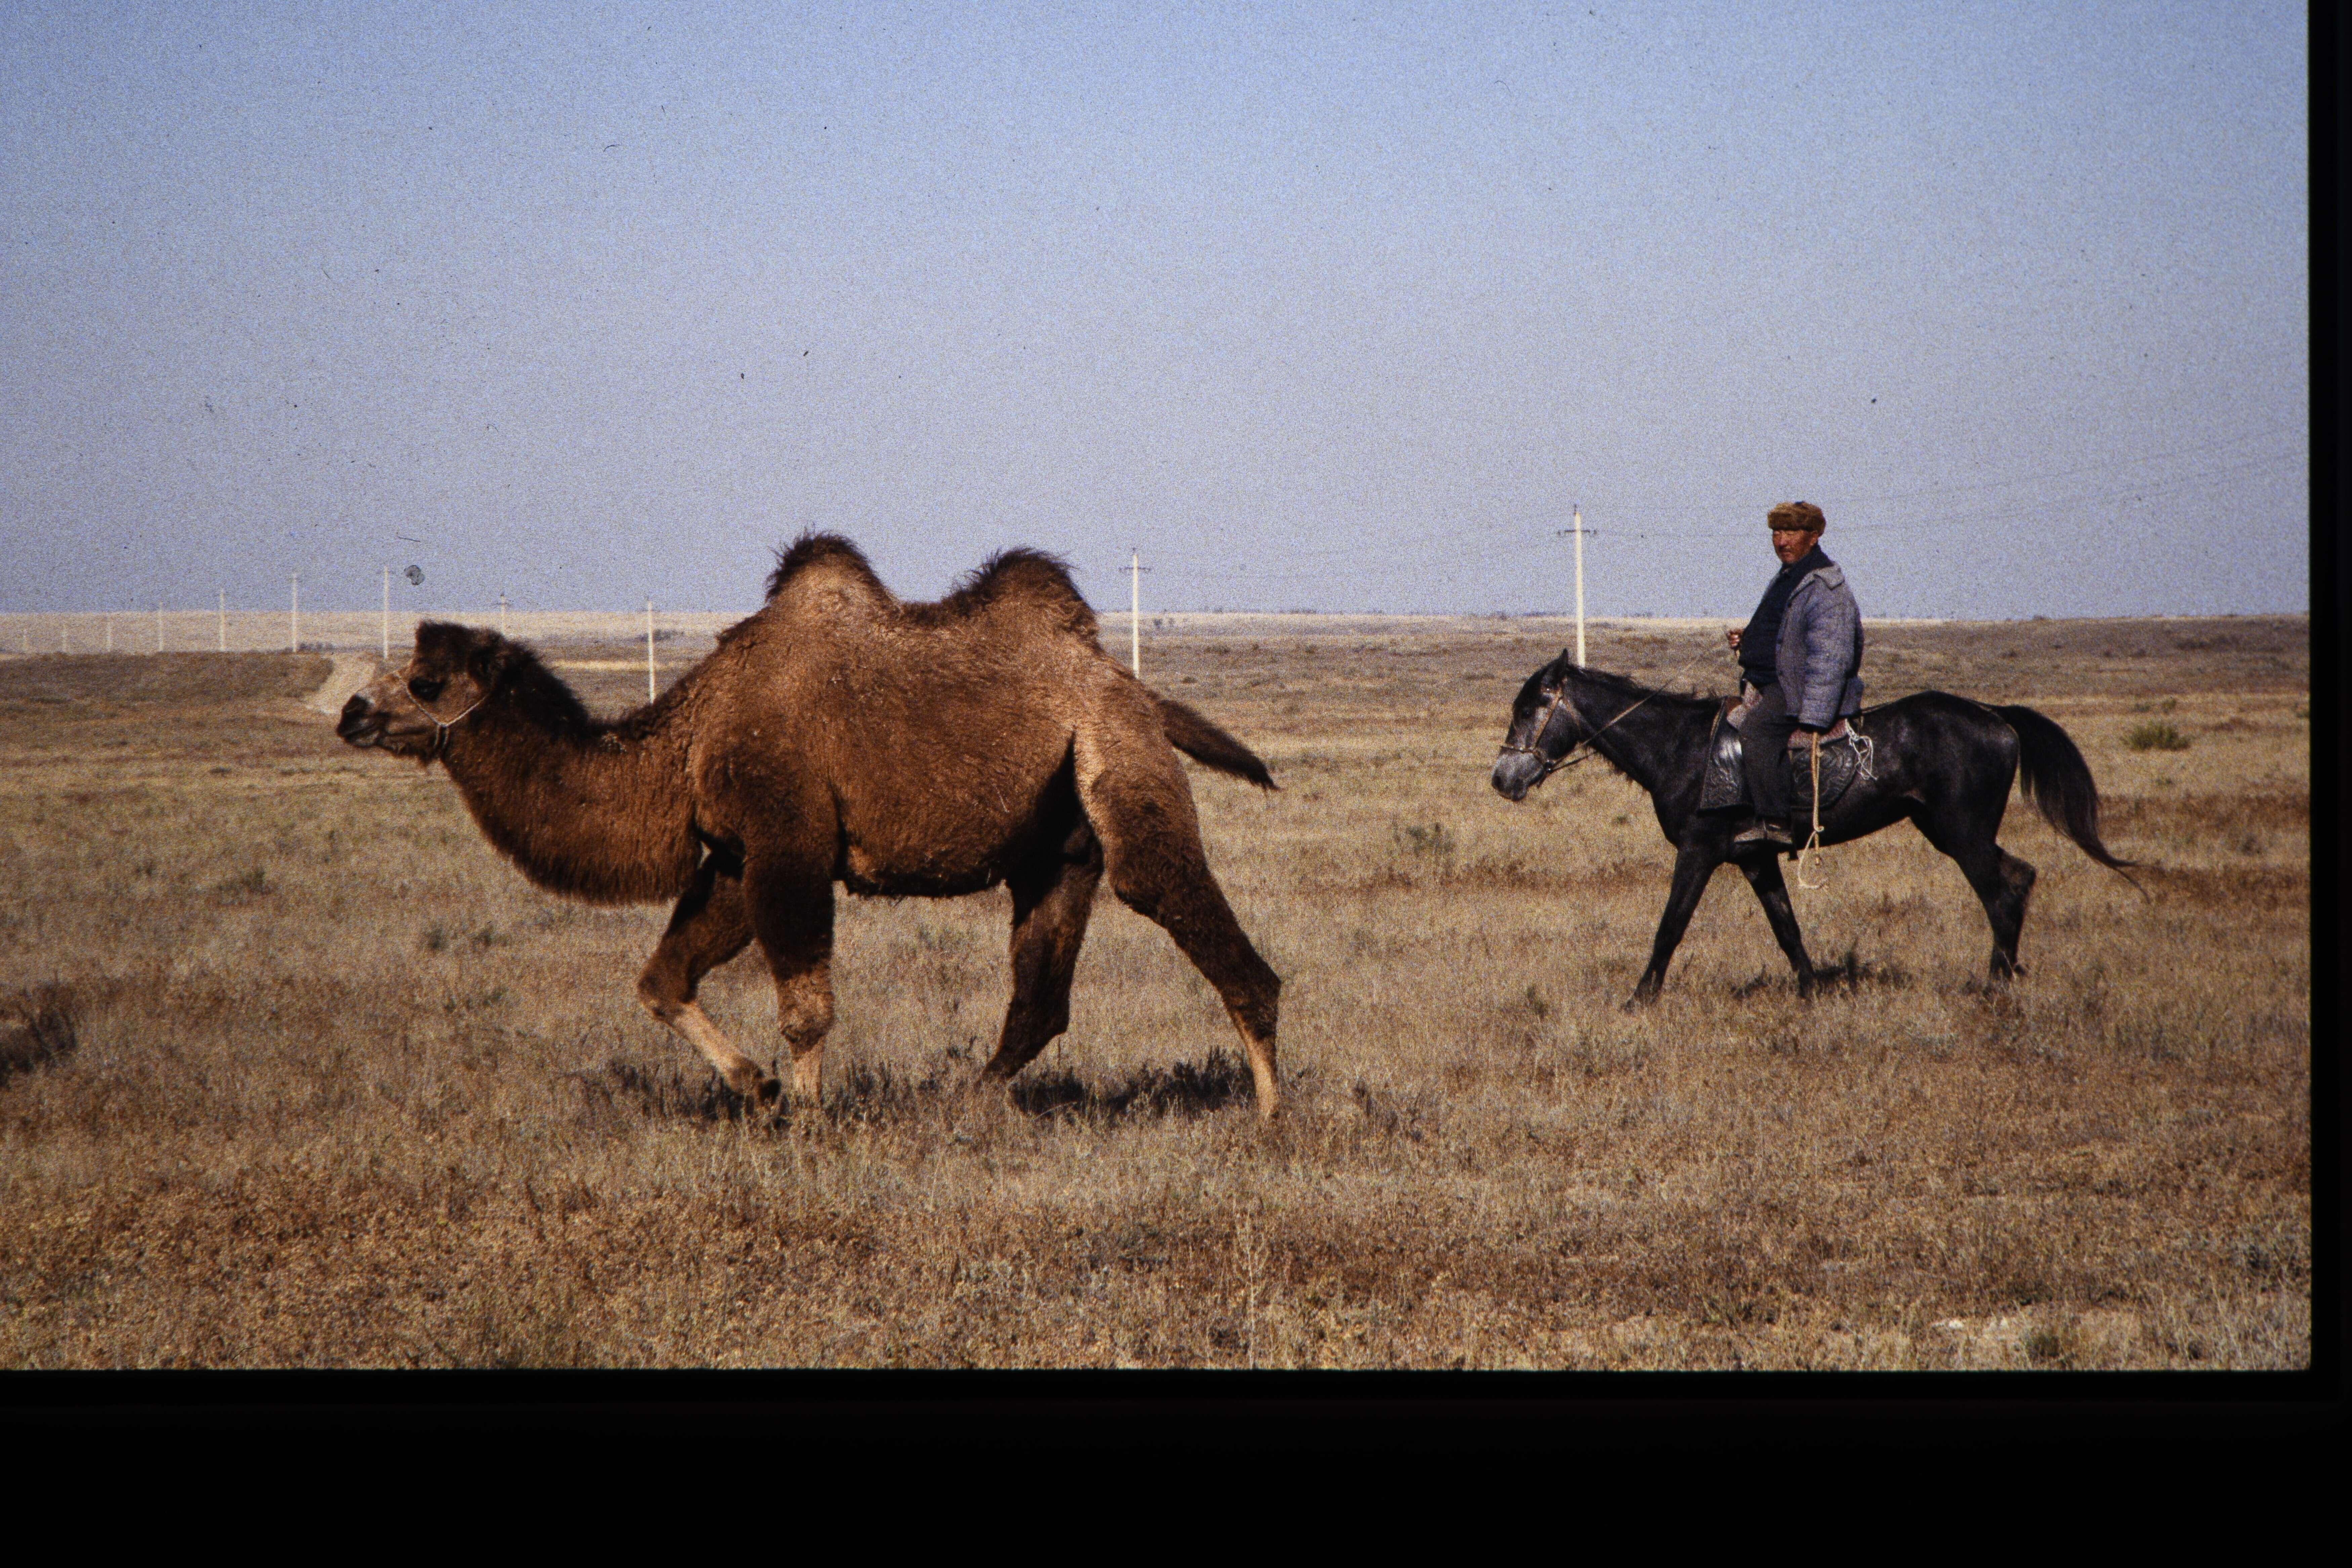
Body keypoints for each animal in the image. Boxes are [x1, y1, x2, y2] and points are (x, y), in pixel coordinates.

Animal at [336, 534, 1285, 1118]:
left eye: (424, 680)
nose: (352, 712)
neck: (687, 738)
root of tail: (1128, 684)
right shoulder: (732, 854)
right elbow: (661, 979)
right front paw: (756, 1090)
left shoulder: (787, 843)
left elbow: (804, 1008)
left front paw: (806, 1116)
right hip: (1057, 842)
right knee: (1039, 996)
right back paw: (961, 1102)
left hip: (1116, 756)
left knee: (1193, 920)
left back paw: (1272, 1112)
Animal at [1488, 652, 2139, 1003]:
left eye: (1530, 708)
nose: (1502, 777)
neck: (1682, 748)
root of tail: (1995, 717)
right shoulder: (1755, 856)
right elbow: (1787, 928)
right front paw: (1812, 989)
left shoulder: (1700, 850)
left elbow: (1670, 926)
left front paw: (1639, 998)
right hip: (1945, 828)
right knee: (2019, 878)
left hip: (1963, 833)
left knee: (2003, 889)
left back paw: (1995, 985)